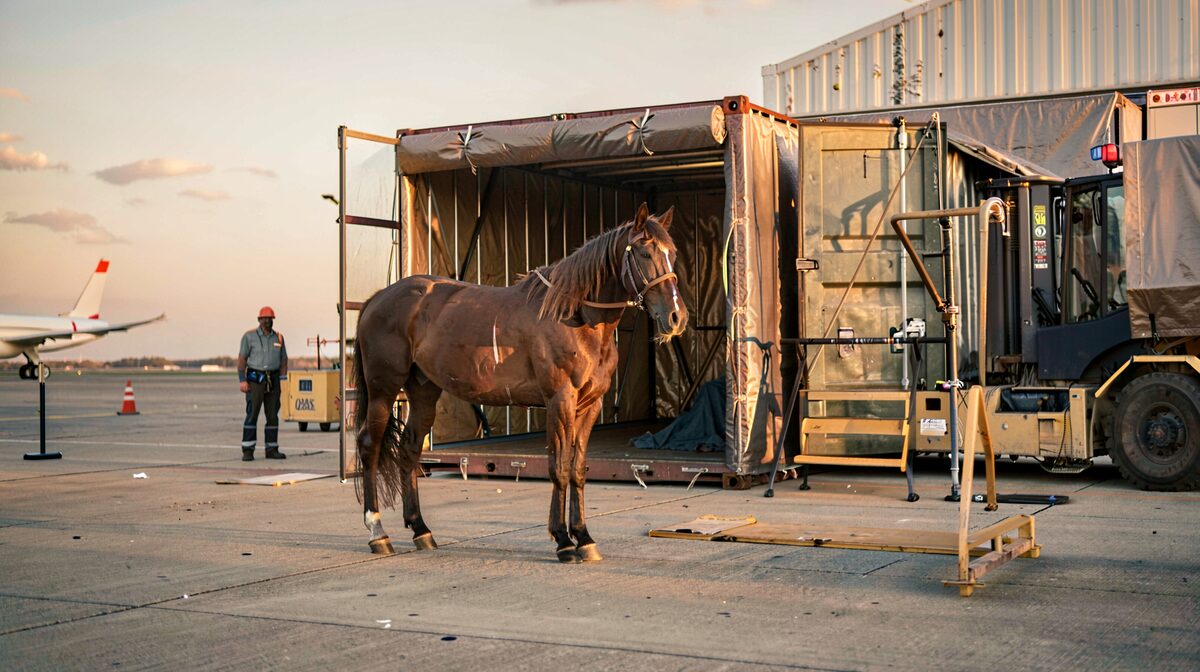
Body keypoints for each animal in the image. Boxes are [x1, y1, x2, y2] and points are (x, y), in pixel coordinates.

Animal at [352, 203, 688, 562]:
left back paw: (421, 530)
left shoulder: (589, 405)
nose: (676, 317)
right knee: (370, 447)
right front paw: (563, 541)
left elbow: (578, 469)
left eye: (672, 253)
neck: (576, 316)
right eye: (644, 252)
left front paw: (584, 537)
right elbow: (559, 468)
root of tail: (378, 298)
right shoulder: (559, 401)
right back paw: (377, 533)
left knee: (409, 449)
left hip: (424, 393)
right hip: (384, 390)